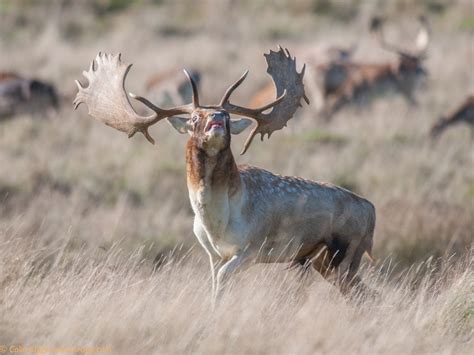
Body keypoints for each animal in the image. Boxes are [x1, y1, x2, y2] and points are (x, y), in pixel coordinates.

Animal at [74, 47, 376, 304]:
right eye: (194, 118)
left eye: (229, 117)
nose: (217, 117)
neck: (217, 221)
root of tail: (371, 211)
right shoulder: (213, 254)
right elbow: (215, 287)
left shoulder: (251, 249)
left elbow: (221, 281)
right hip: (324, 260)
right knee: (365, 294)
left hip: (346, 253)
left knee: (364, 294)